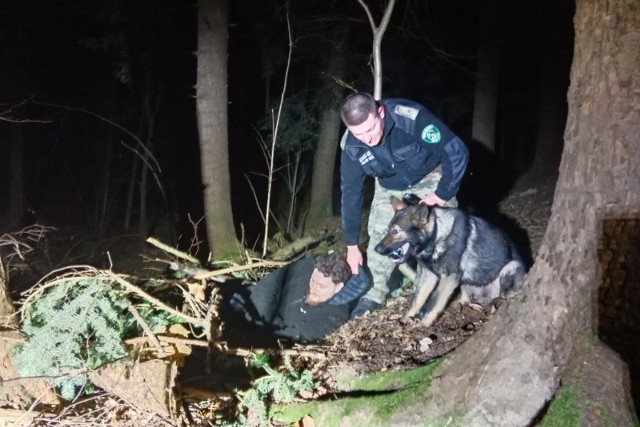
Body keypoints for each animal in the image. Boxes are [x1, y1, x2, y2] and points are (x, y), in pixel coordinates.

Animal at [376, 196, 524, 328]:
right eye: (388, 229)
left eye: (395, 231)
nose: (376, 249)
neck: (436, 235)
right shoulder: (429, 276)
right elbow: (417, 299)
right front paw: (407, 318)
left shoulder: (448, 278)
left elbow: (435, 302)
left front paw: (424, 324)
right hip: (465, 281)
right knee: (466, 298)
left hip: (510, 267)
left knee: (506, 295)